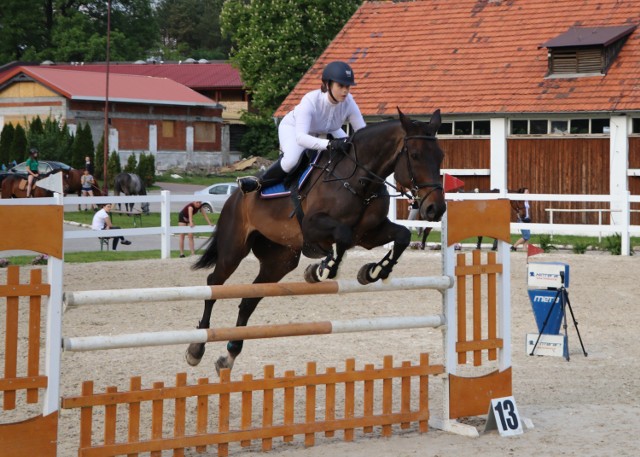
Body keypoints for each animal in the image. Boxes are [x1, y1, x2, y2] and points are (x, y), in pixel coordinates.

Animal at [185, 108, 444, 374]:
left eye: (441, 156)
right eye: (415, 155)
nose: (436, 209)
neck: (359, 181)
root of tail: (236, 196)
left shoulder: (370, 234)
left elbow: (402, 236)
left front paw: (373, 271)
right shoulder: (312, 225)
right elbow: (342, 236)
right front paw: (321, 269)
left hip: (279, 261)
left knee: (249, 300)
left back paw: (229, 355)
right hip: (233, 249)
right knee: (214, 284)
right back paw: (196, 349)